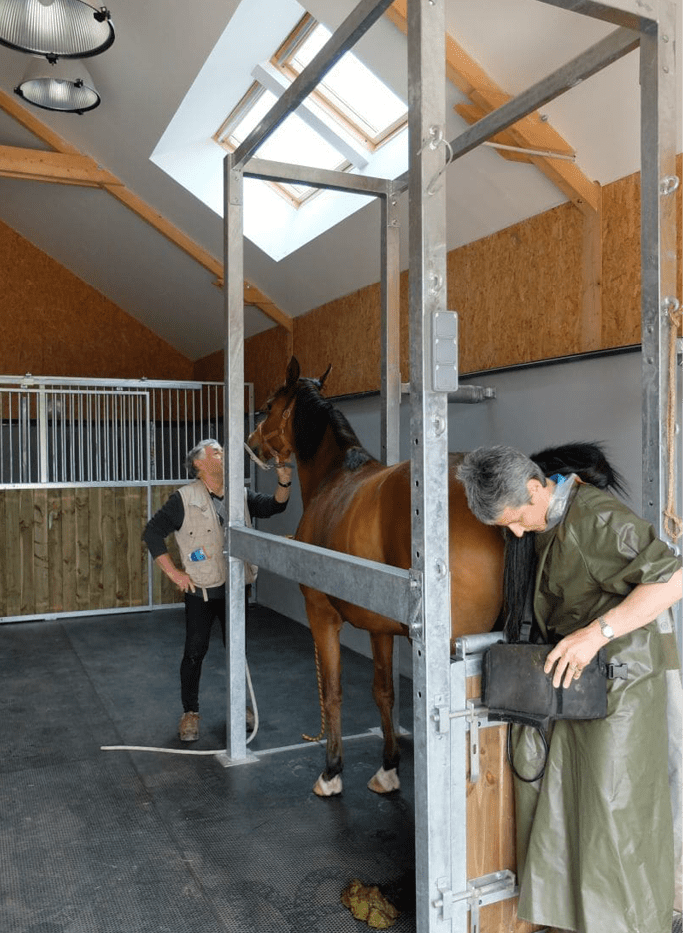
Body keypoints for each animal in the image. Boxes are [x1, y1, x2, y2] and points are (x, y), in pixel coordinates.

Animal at [248, 356, 504, 792]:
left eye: (268, 405)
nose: (250, 442)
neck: (334, 477)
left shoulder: (321, 614)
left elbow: (332, 692)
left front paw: (332, 771)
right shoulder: (380, 627)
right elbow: (383, 691)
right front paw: (388, 767)